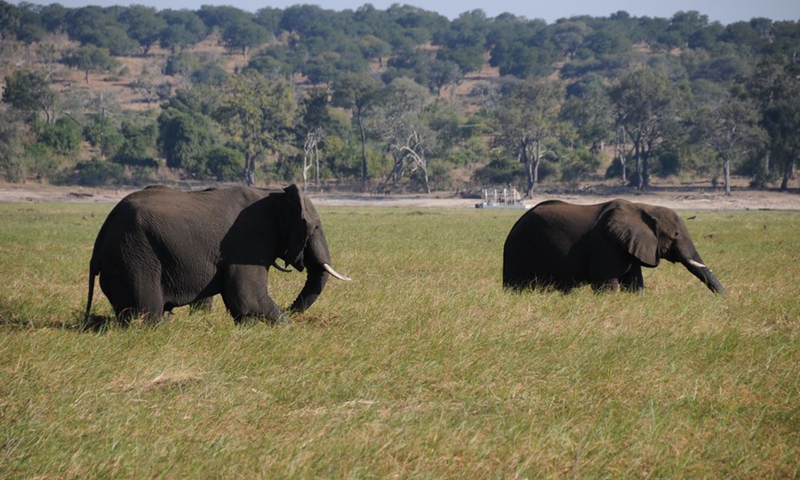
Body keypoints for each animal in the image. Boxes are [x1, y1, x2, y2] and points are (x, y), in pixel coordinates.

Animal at [84, 184, 351, 324]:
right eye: (316, 227)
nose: (289, 308)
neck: (274, 194)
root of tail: (104, 229)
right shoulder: (246, 242)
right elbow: (248, 299)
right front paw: (285, 325)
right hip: (134, 255)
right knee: (146, 312)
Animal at [502, 199, 724, 294]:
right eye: (676, 235)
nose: (724, 298)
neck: (642, 207)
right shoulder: (604, 245)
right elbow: (607, 286)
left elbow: (635, 285)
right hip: (519, 249)